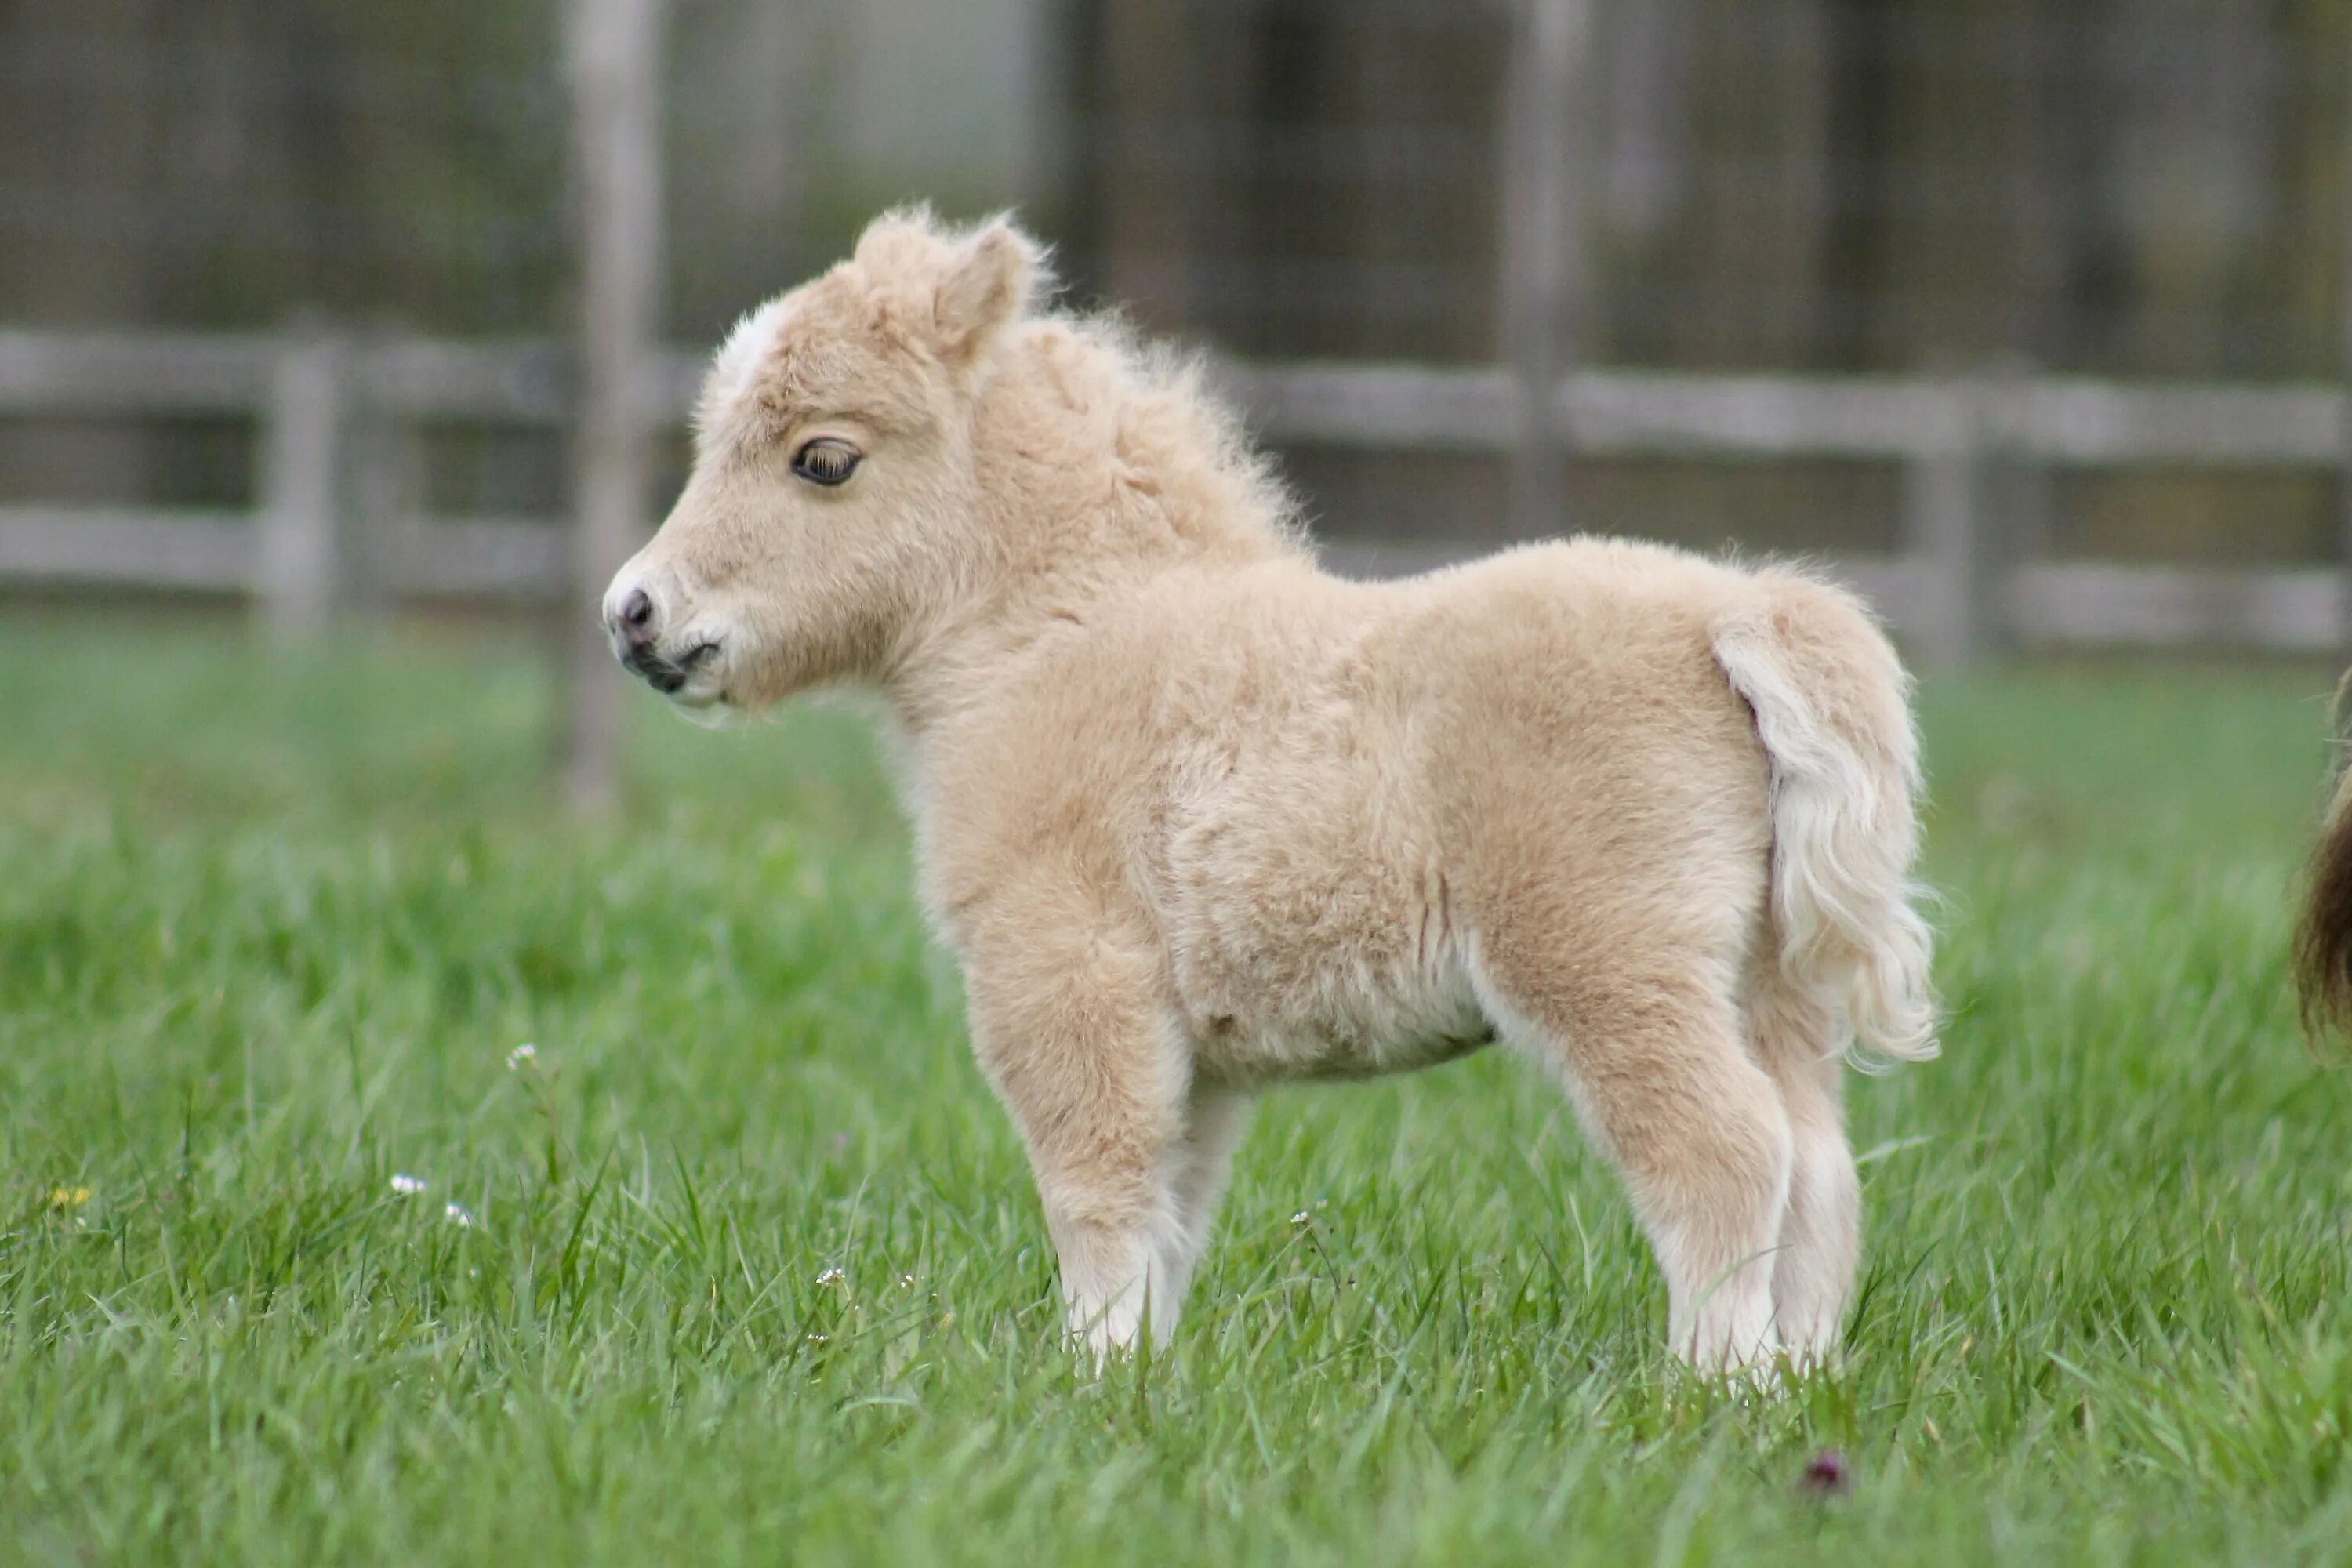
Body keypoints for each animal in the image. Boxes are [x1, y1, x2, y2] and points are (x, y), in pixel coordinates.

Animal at [612, 211, 1947, 1373]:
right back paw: (1796, 1383)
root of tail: (1736, 610)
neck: (1058, 635)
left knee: (1725, 1149)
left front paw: (1084, 1381)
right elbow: (1169, 1205)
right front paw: (1142, 1381)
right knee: (1819, 1165)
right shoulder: (1190, 1049)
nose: (635, 616)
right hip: (1769, 976)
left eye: (824, 460)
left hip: (1610, 960)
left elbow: (1096, 1185)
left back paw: (1708, 1386)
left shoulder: (1063, 966)